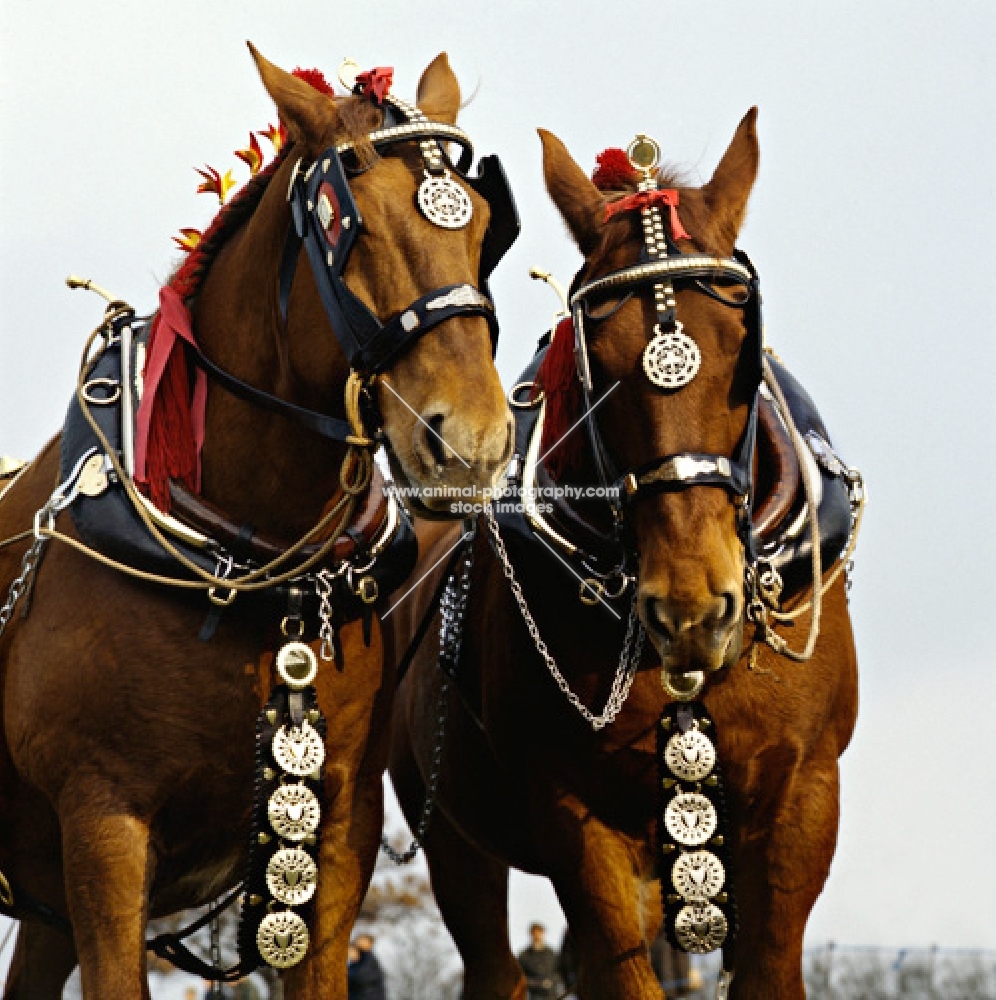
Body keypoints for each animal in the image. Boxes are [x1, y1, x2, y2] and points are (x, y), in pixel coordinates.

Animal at [0, 45, 512, 1000]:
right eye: (354, 229)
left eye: (485, 228)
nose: (472, 442)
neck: (245, 564)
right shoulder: (103, 827)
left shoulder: (338, 829)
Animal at [390, 109, 864, 1000]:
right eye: (598, 364)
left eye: (744, 350)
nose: (690, 606)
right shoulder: (576, 819)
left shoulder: (804, 799)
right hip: (453, 835)